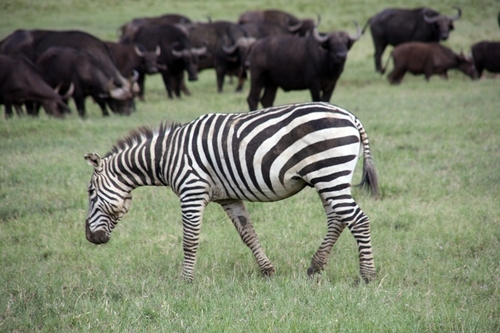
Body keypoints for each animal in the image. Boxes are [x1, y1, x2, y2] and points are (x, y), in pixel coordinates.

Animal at [85, 101, 378, 280]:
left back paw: (367, 275)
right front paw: (267, 271)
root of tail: (350, 116)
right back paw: (316, 266)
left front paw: (185, 280)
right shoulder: (228, 197)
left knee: (359, 220)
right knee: (338, 220)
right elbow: (248, 234)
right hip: (326, 178)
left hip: (329, 173)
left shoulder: (191, 191)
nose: (90, 238)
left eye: (90, 193)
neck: (168, 156)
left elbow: (190, 239)